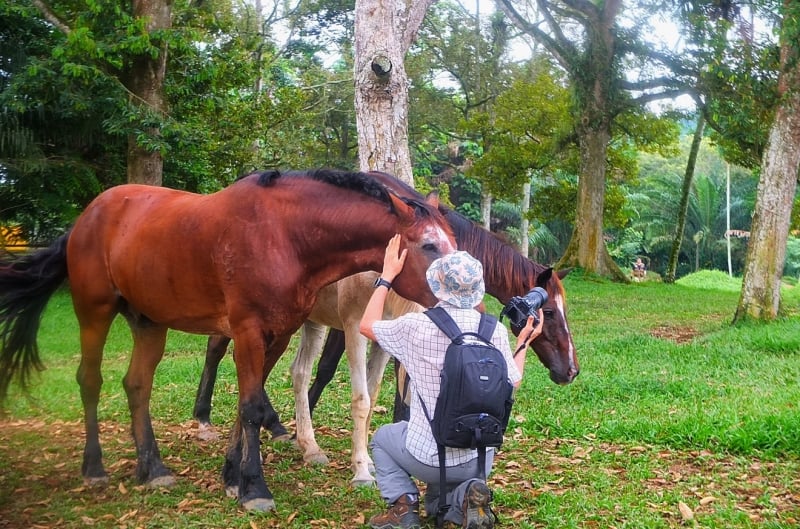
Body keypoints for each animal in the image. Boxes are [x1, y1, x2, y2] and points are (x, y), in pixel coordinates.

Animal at [0, 167, 456, 510]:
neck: (285, 235)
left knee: (137, 385)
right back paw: (94, 469)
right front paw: (255, 488)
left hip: (149, 323)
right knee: (90, 381)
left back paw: (153, 468)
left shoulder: (277, 333)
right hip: (94, 311)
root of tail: (87, 215)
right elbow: (252, 406)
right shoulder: (248, 331)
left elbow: (245, 404)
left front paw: (233, 476)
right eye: (429, 245)